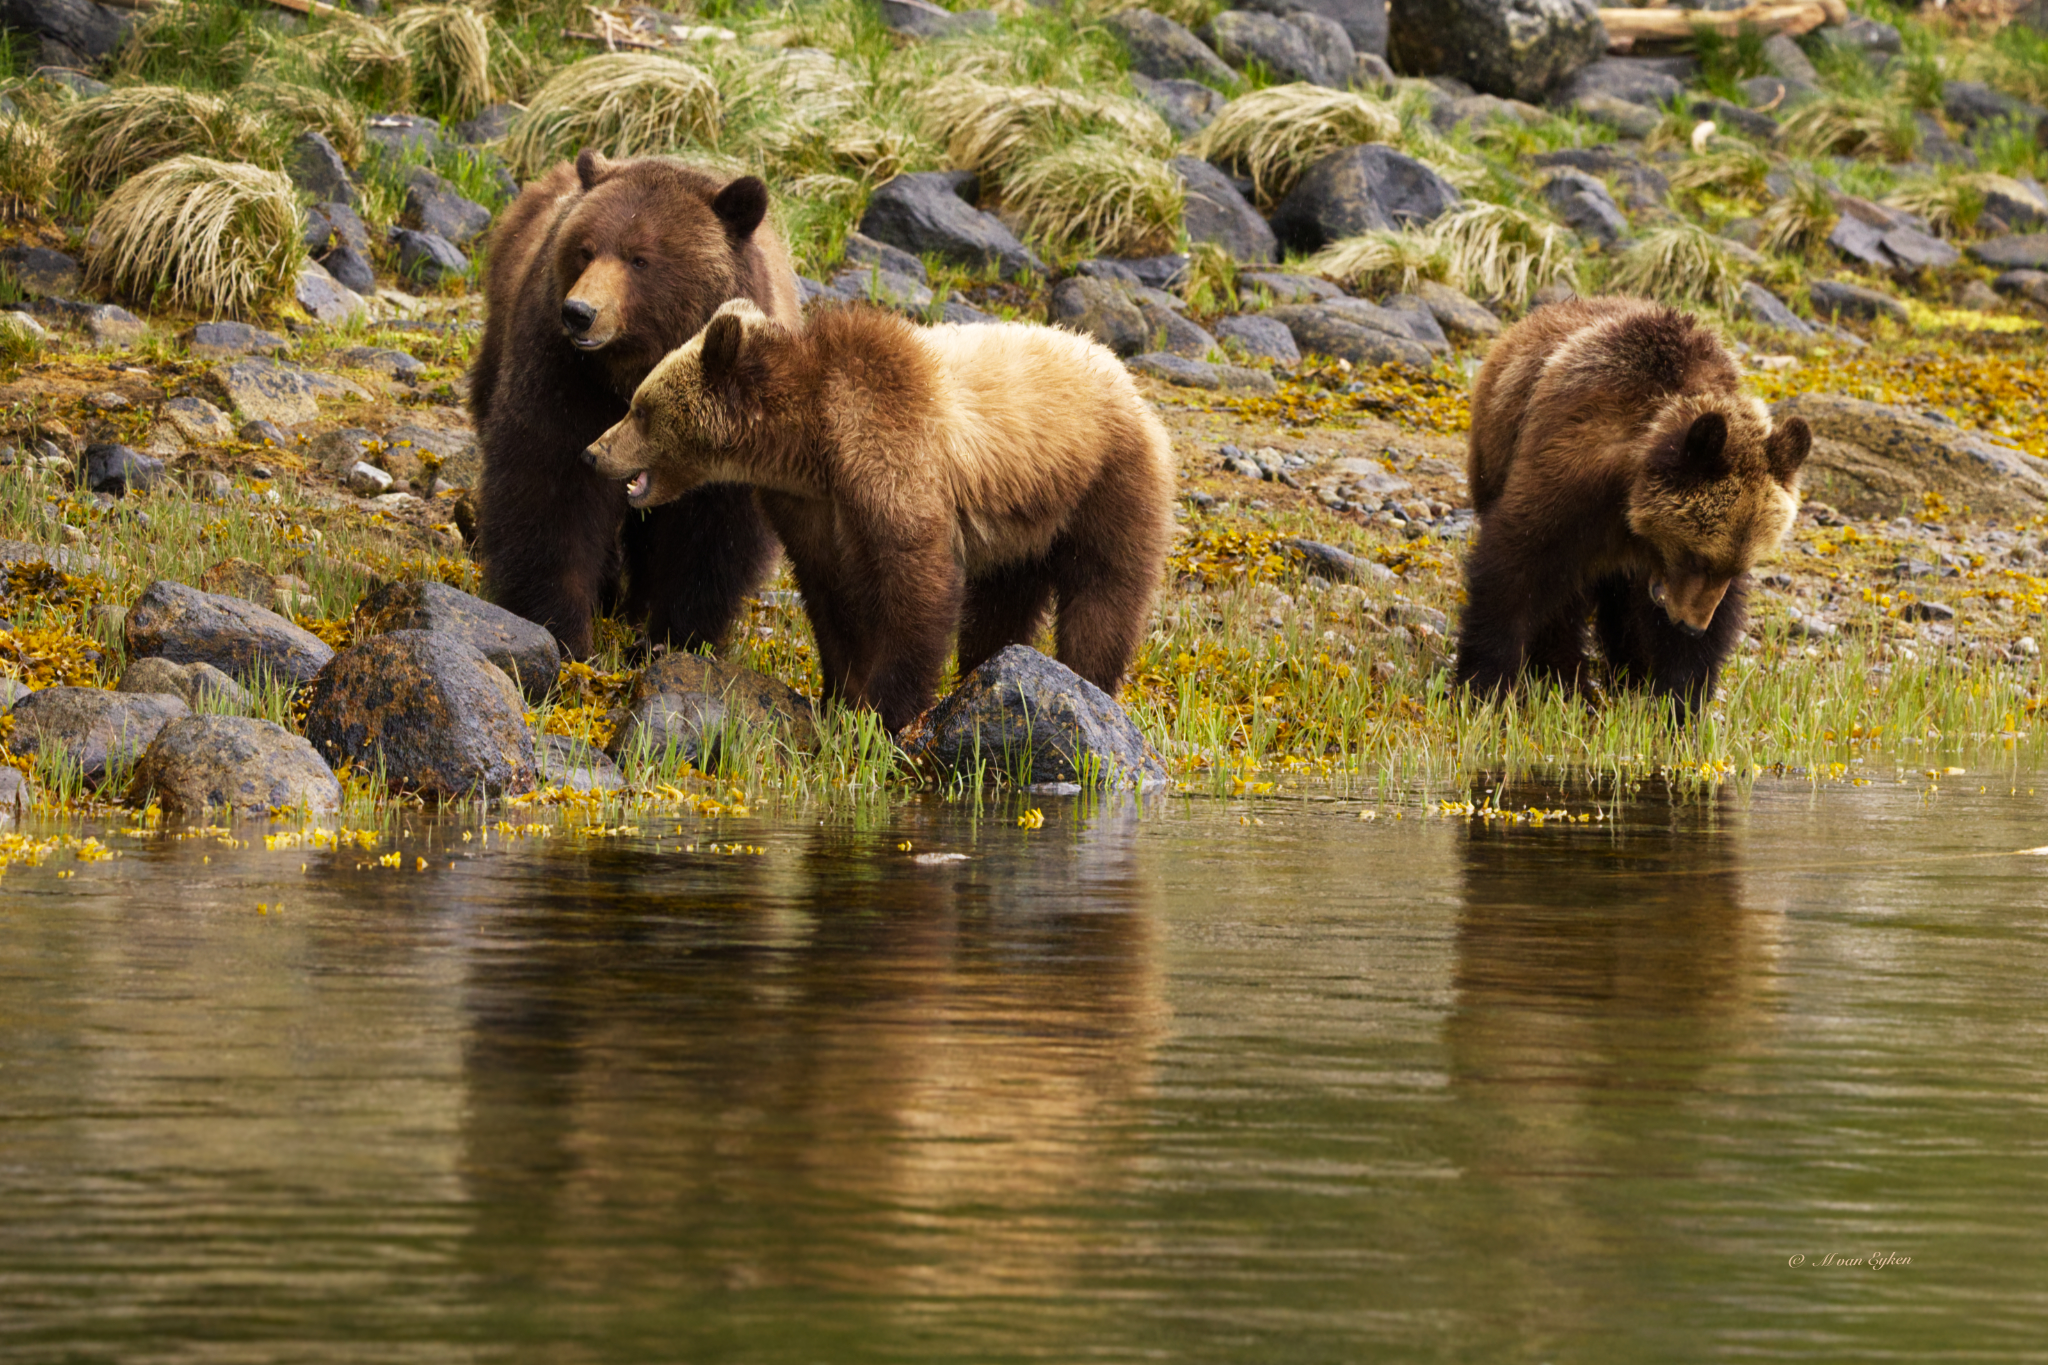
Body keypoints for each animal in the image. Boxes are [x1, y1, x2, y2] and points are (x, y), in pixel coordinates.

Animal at [468, 149, 802, 659]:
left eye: (640, 259)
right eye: (585, 249)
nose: (579, 312)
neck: (635, 368)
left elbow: (713, 528)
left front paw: (672, 637)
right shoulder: (567, 375)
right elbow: (550, 484)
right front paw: (565, 629)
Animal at [582, 300, 1178, 733]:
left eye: (640, 408)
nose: (592, 451)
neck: (809, 442)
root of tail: (1123, 376)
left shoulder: (888, 457)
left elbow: (915, 584)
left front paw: (884, 712)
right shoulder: (811, 510)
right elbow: (832, 598)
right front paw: (839, 695)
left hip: (1105, 482)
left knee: (1104, 592)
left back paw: (1087, 679)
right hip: (1022, 524)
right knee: (1001, 604)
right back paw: (987, 668)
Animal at [1453, 296, 1810, 712]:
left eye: (1738, 565)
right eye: (1696, 557)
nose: (1691, 625)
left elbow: (1702, 629)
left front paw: (1678, 702)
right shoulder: (1568, 476)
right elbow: (1516, 569)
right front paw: (1484, 685)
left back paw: (1626, 675)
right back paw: (1567, 676)